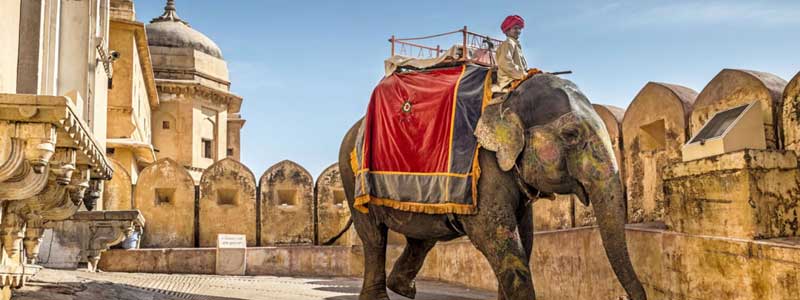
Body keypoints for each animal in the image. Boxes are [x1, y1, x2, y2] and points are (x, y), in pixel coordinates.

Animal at [334, 73, 648, 300]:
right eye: (571, 134)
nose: (626, 297)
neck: (507, 99)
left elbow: (525, 237)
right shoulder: (485, 168)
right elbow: (500, 238)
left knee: (422, 236)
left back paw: (403, 289)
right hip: (352, 177)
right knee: (374, 236)